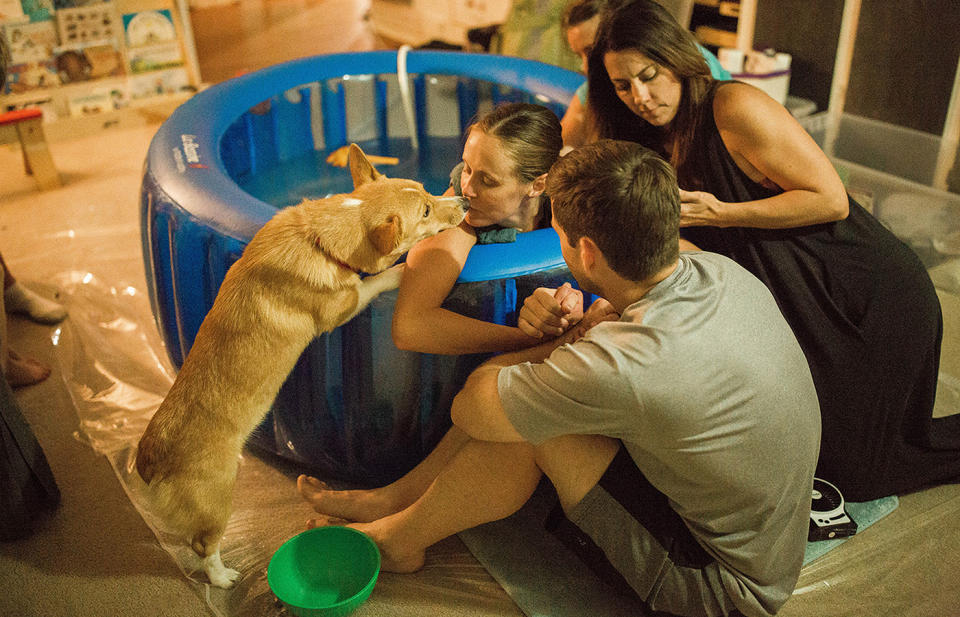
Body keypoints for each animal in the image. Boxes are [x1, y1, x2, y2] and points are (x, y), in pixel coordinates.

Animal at [135, 142, 468, 584]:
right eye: (427, 212)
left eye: (428, 192)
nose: (464, 202)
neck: (321, 236)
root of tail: (149, 461)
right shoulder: (345, 304)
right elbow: (373, 282)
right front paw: (402, 270)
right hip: (217, 500)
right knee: (204, 546)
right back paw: (224, 578)